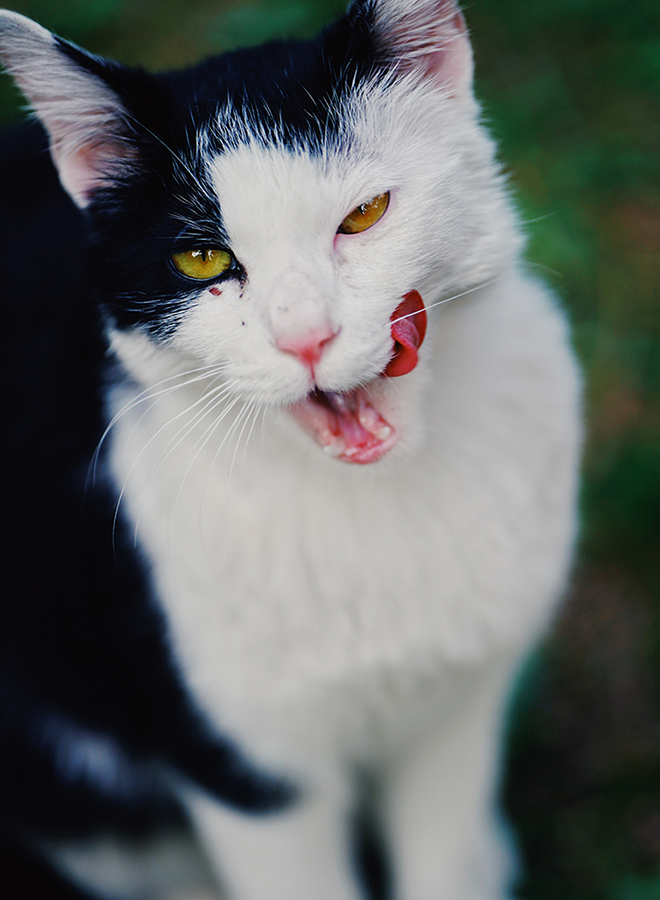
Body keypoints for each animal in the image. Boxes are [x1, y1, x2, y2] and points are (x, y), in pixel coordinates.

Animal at [0, 1, 580, 900]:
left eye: (365, 214)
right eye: (200, 256)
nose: (305, 336)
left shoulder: (458, 711)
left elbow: (441, 855)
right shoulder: (244, 770)